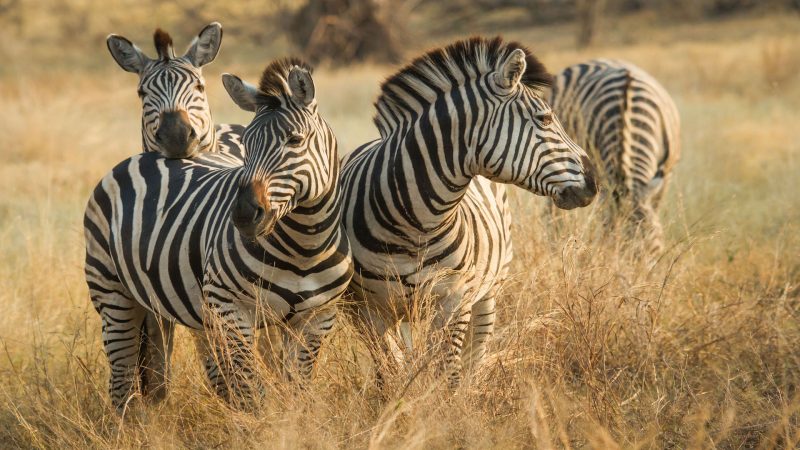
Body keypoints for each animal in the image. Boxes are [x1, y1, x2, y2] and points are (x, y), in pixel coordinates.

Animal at [83, 58, 354, 410]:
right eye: (246, 145)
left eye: (294, 140)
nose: (242, 215)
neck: (305, 246)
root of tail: (142, 156)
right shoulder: (231, 309)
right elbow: (252, 391)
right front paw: (261, 423)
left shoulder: (317, 317)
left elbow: (297, 390)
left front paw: (292, 419)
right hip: (112, 294)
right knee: (122, 382)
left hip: (161, 309)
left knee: (156, 378)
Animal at [340, 37, 596, 384]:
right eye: (544, 118)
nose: (593, 181)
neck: (413, 222)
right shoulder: (366, 310)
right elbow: (390, 372)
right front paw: (400, 397)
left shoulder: (455, 302)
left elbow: (447, 374)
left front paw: (441, 399)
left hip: (489, 293)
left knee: (475, 356)